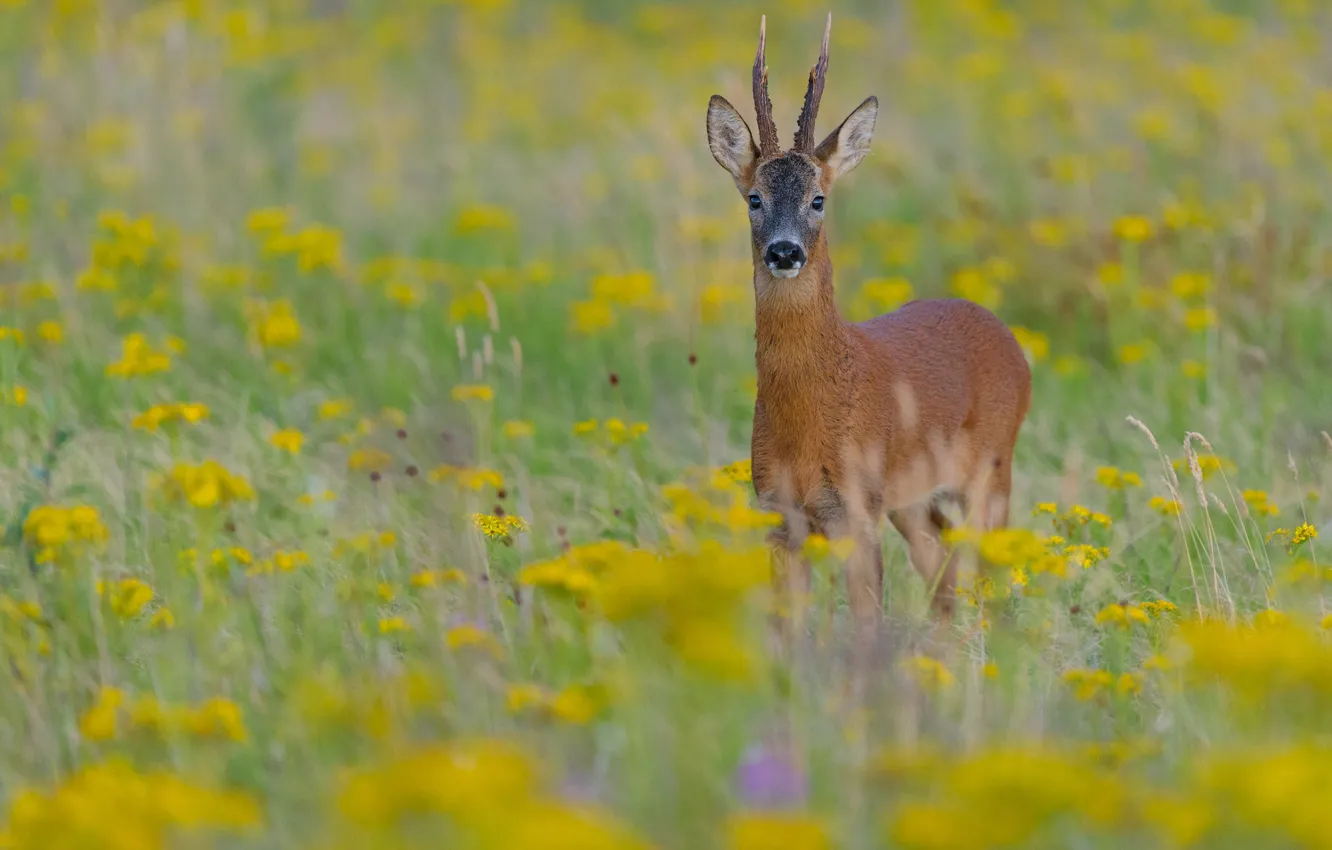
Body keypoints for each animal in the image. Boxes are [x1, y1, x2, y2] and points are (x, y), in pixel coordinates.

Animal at [708, 13, 1028, 626]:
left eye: (818, 200)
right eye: (754, 198)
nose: (784, 251)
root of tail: (1007, 335)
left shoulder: (857, 510)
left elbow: (865, 626)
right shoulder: (778, 515)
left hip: (993, 468)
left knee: (990, 571)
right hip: (912, 499)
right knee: (944, 570)